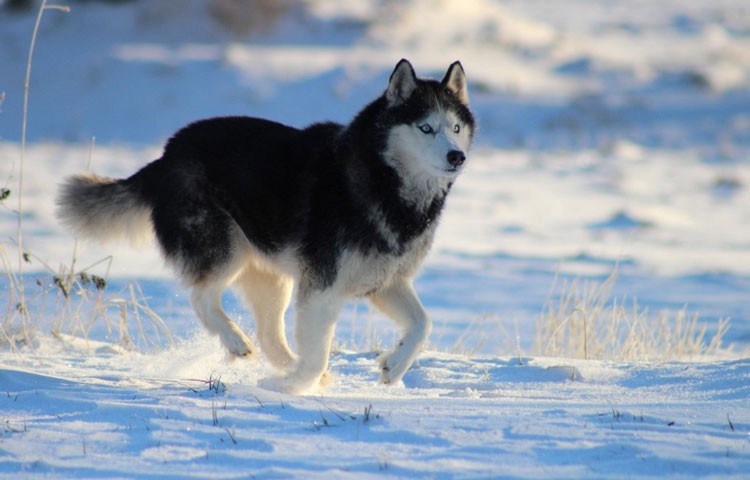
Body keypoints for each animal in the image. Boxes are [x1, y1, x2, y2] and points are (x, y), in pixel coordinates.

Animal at [57, 58, 476, 392]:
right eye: (425, 128)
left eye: (455, 127)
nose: (457, 156)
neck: (385, 182)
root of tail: (166, 154)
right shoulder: (322, 288)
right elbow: (318, 354)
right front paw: (292, 387)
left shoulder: (386, 282)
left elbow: (423, 325)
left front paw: (394, 366)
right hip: (224, 252)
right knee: (202, 298)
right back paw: (237, 342)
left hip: (274, 280)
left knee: (270, 334)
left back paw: (280, 363)